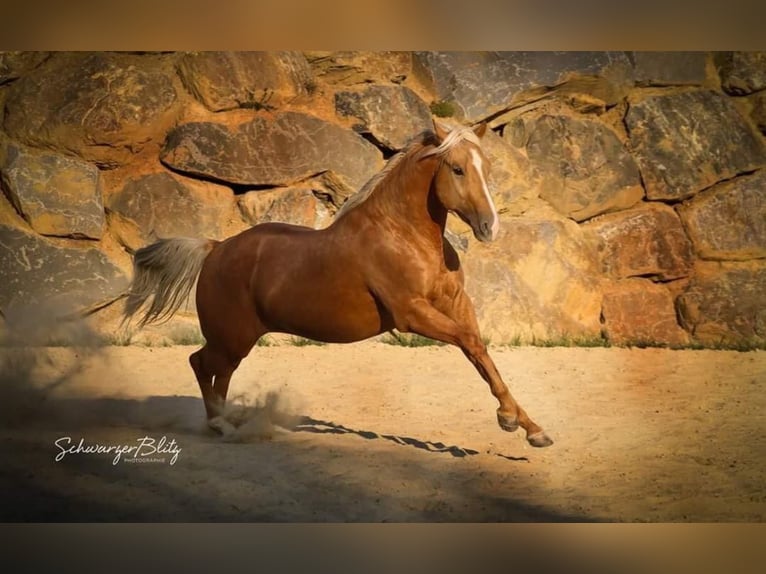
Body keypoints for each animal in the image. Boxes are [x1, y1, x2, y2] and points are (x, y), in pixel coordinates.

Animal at [123, 121, 556, 450]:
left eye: (487, 167)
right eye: (457, 169)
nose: (489, 227)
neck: (405, 235)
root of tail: (215, 248)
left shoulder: (456, 303)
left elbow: (480, 353)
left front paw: (531, 428)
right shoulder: (412, 314)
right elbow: (471, 344)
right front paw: (510, 420)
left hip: (237, 339)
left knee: (220, 373)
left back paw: (227, 422)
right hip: (231, 335)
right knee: (200, 364)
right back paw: (220, 426)